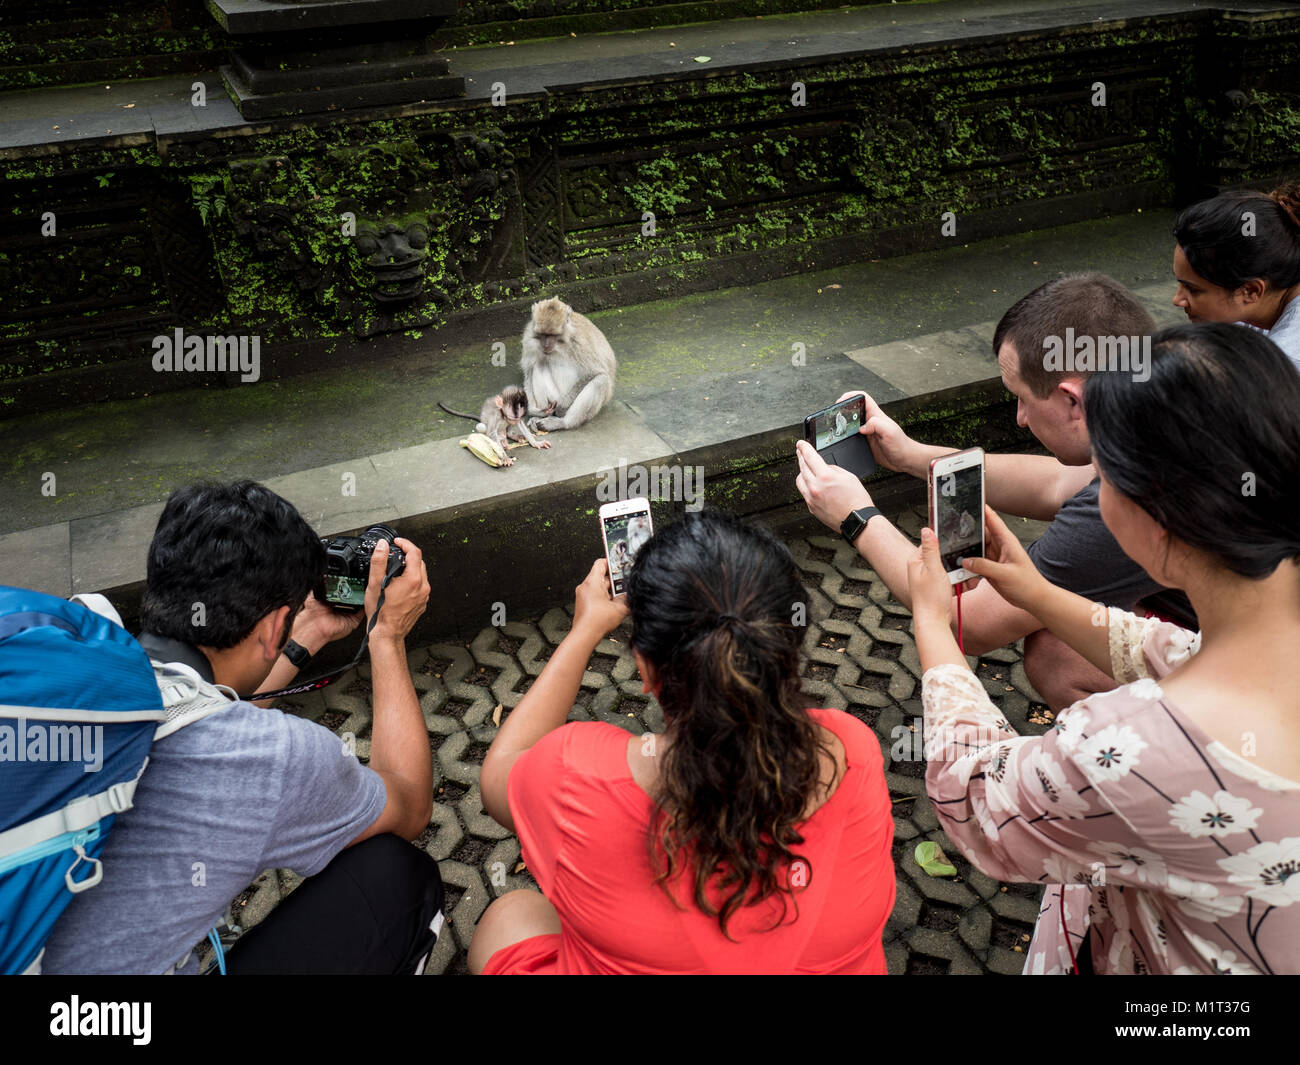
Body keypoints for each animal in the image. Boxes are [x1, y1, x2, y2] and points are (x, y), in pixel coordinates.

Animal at [520, 297, 617, 433]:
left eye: (553, 335)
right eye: (543, 334)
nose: (546, 345)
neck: (559, 344)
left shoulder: (579, 342)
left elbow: (594, 372)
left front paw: (562, 407)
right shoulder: (529, 339)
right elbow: (528, 371)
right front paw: (534, 410)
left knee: (601, 380)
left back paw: (563, 422)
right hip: (554, 397)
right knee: (539, 365)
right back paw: (543, 415)